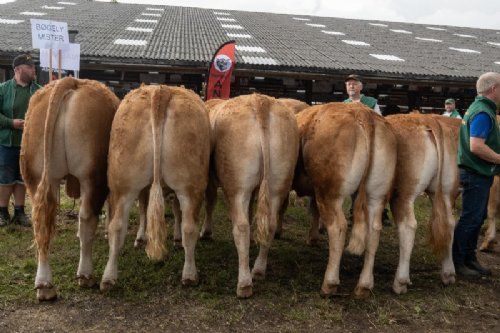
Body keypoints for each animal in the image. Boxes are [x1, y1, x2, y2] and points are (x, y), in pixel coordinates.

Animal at [20, 76, 121, 300]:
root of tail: (72, 81)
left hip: (38, 176)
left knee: (41, 223)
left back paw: (44, 285)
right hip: (92, 177)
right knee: (86, 218)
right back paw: (85, 275)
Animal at [99, 84, 211, 290]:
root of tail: (161, 90)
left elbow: (146, 209)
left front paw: (142, 237)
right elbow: (171, 211)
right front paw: (172, 239)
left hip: (123, 183)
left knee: (117, 227)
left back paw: (108, 278)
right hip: (190, 185)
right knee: (189, 227)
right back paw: (190, 274)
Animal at [201, 92, 298, 296]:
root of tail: (260, 101)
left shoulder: (211, 180)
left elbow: (210, 202)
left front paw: (206, 232)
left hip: (237, 185)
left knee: (241, 227)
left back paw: (244, 284)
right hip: (278, 182)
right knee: (270, 224)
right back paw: (259, 270)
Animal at [292, 102, 398, 296]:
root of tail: (362, 112)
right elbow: (313, 210)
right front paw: (313, 237)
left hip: (330, 192)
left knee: (338, 227)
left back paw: (329, 283)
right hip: (376, 195)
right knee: (374, 231)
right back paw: (364, 285)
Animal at [386, 114, 460, 294]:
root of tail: (426, 119)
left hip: (403, 193)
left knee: (408, 226)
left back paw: (400, 282)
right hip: (444, 190)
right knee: (449, 223)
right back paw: (448, 274)